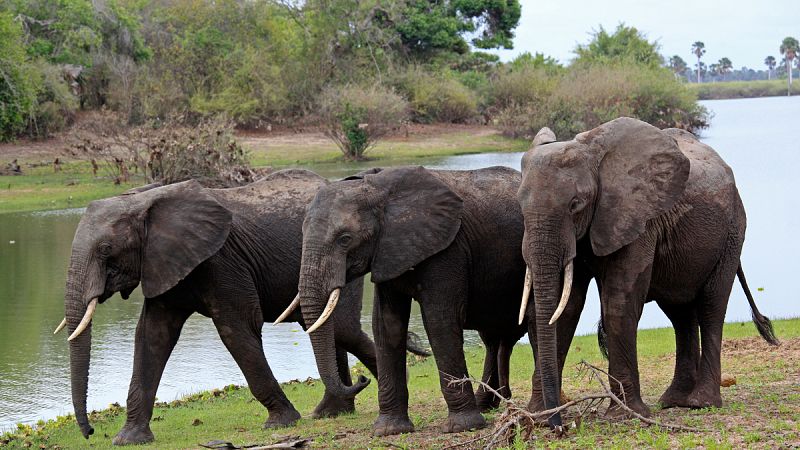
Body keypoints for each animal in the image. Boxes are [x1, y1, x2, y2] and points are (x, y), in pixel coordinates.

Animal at [56, 169, 429, 445]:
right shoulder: (163, 263)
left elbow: (236, 329)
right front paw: (128, 439)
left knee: (343, 329)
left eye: (106, 250)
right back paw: (331, 412)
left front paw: (281, 423)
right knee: (328, 328)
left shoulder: (222, 261)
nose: (90, 432)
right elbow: (152, 337)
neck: (145, 200)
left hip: (346, 261)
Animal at [283, 165, 528, 436]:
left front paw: (463, 427)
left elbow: (439, 320)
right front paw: (389, 430)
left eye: (345, 238)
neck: (378, 190)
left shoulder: (448, 248)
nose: (362, 379)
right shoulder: (387, 252)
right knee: (495, 339)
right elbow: (386, 325)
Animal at [516, 117, 779, 430]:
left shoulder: (638, 220)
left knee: (711, 307)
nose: (559, 425)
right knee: (680, 315)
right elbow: (566, 308)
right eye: (519, 207)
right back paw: (673, 401)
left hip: (732, 232)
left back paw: (701, 403)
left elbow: (619, 303)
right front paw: (537, 416)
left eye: (575, 204)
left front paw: (626, 415)